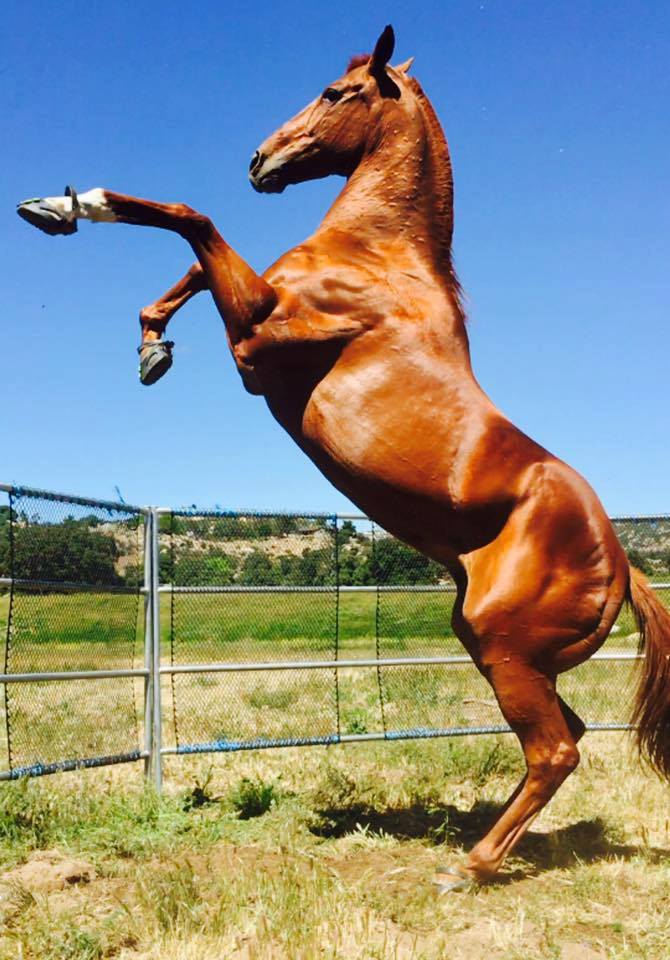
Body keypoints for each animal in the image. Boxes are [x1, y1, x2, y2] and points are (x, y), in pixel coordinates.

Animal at [15, 24, 670, 892]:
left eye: (334, 93)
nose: (259, 160)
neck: (380, 256)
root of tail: (625, 565)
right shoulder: (258, 309)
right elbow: (193, 262)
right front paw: (149, 342)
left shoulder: (259, 336)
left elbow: (192, 221)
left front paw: (69, 205)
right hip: (500, 650)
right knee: (566, 737)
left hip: (503, 647)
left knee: (555, 750)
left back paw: (468, 866)